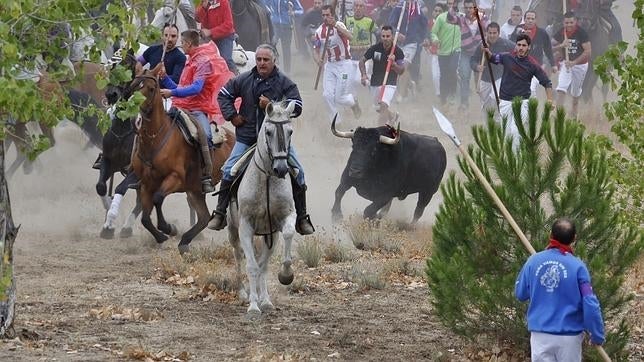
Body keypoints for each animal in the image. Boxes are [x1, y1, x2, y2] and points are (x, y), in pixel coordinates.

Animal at [129, 64, 234, 252]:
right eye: (133, 85)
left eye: (151, 88)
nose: (135, 117)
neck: (156, 137)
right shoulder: (146, 184)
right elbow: (145, 218)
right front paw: (161, 235)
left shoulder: (175, 178)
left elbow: (158, 198)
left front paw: (168, 228)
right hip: (195, 190)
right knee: (203, 217)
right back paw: (185, 241)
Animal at [228, 100, 298, 318]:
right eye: (268, 131)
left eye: (290, 131)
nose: (281, 169)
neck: (266, 178)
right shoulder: (245, 226)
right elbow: (251, 265)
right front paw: (252, 305)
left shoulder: (283, 220)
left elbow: (287, 235)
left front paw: (285, 275)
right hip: (233, 231)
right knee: (238, 256)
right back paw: (243, 292)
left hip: (269, 235)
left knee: (263, 264)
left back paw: (263, 298)